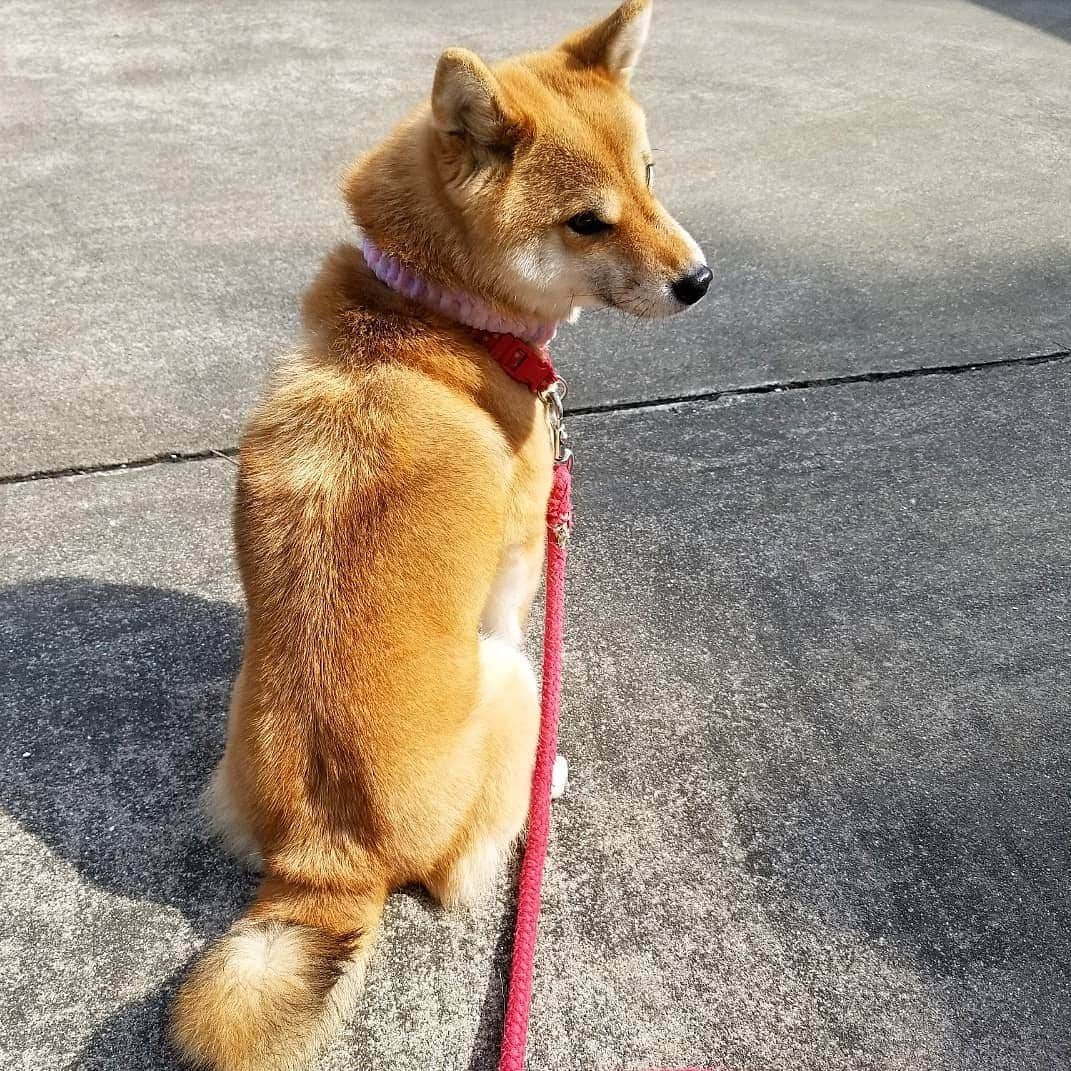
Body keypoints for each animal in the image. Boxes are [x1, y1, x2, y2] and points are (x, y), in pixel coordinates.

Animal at [171, 4, 711, 1066]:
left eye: (649, 174)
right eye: (587, 221)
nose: (700, 280)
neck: (428, 310)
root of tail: (328, 852)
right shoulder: (518, 563)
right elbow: (511, 602)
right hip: (512, 681)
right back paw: (545, 781)